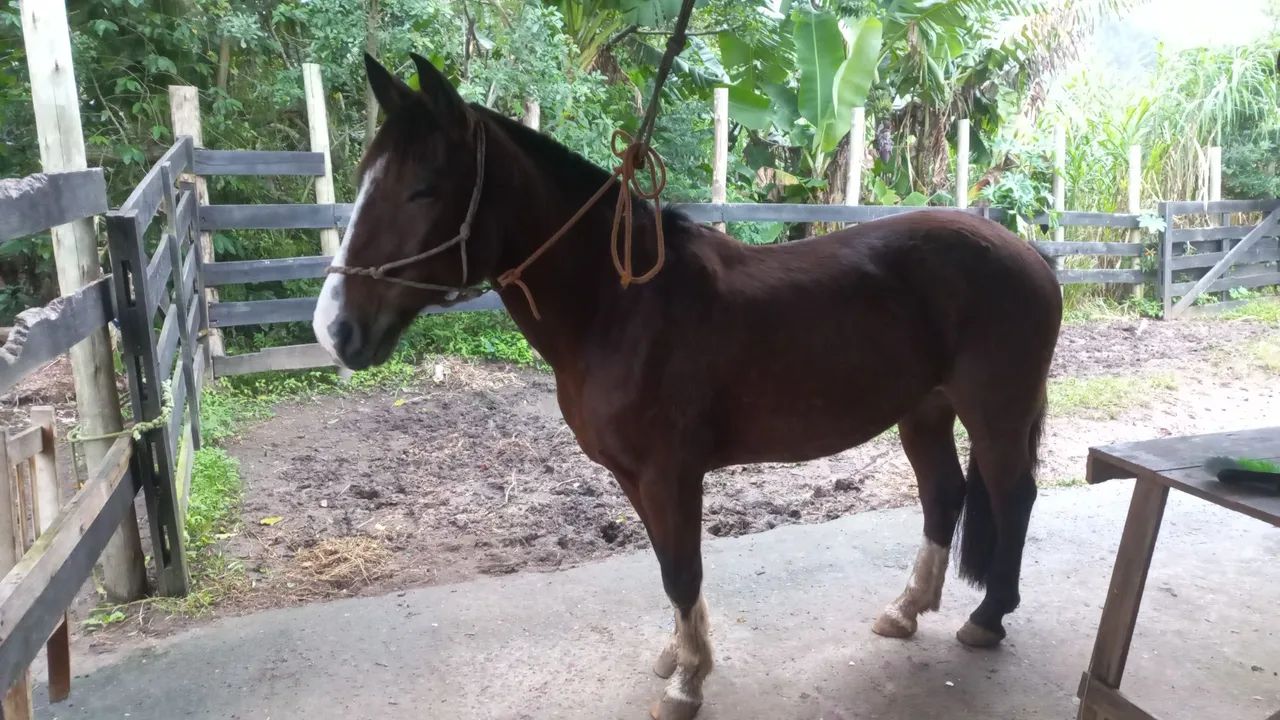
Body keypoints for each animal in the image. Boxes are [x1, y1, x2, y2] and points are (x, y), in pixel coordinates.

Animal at [312, 53, 1063, 720]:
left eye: (425, 188)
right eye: (365, 178)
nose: (336, 328)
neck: (620, 304)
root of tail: (1029, 254)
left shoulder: (670, 472)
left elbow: (683, 569)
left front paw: (687, 684)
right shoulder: (632, 475)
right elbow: (668, 566)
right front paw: (679, 657)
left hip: (994, 414)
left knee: (1013, 496)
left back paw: (988, 618)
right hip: (924, 413)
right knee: (944, 495)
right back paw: (905, 611)